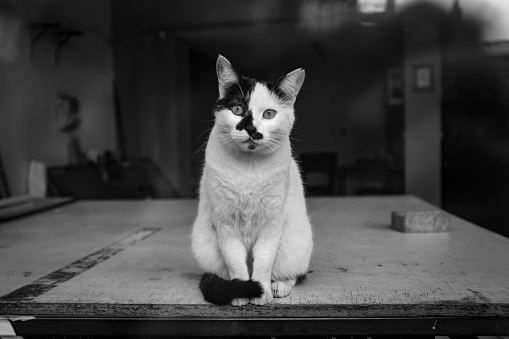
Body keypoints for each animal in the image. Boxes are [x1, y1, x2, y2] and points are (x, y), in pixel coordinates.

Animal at [190, 56, 312, 308]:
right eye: (237, 109)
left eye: (268, 114)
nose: (250, 128)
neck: (248, 170)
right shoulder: (225, 224)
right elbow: (235, 262)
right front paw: (241, 291)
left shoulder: (272, 223)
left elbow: (264, 261)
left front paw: (261, 291)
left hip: (293, 244)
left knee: (294, 274)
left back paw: (279, 286)